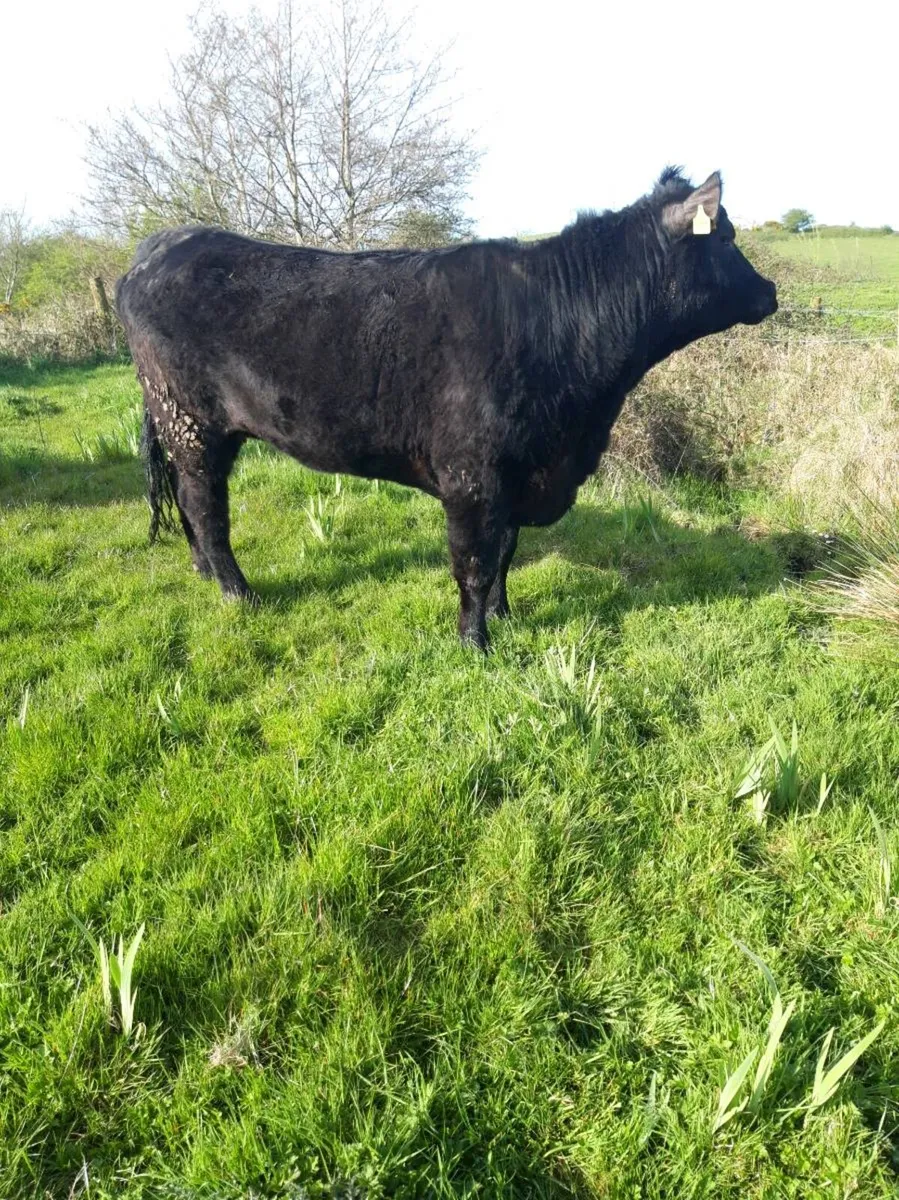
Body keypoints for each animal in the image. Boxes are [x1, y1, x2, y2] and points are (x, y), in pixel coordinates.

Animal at [117, 168, 777, 650]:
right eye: (726, 239)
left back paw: (204, 572)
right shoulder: (472, 474)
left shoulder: (518, 471)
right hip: (192, 420)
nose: (770, 291)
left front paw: (504, 616)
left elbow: (506, 550)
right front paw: (474, 641)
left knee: (187, 499)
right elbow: (475, 561)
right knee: (206, 506)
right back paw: (237, 592)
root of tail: (164, 243)